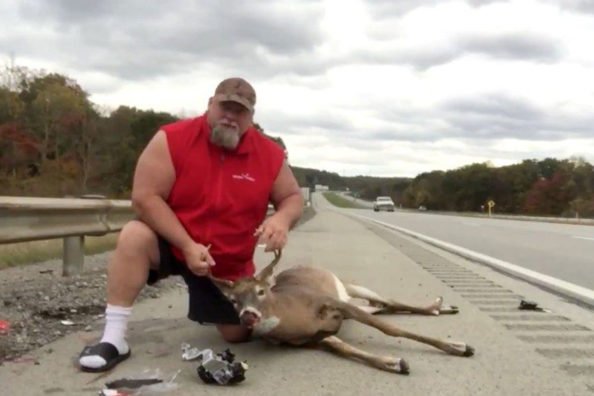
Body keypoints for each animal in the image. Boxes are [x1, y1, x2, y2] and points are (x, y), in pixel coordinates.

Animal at [208, 251, 472, 374]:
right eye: (233, 300)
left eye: (261, 291)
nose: (248, 315)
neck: (291, 315)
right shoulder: (310, 338)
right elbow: (342, 348)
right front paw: (394, 363)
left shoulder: (331, 302)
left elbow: (389, 328)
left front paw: (457, 346)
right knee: (381, 306)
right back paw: (440, 307)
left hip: (347, 288)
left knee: (387, 301)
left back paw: (439, 308)